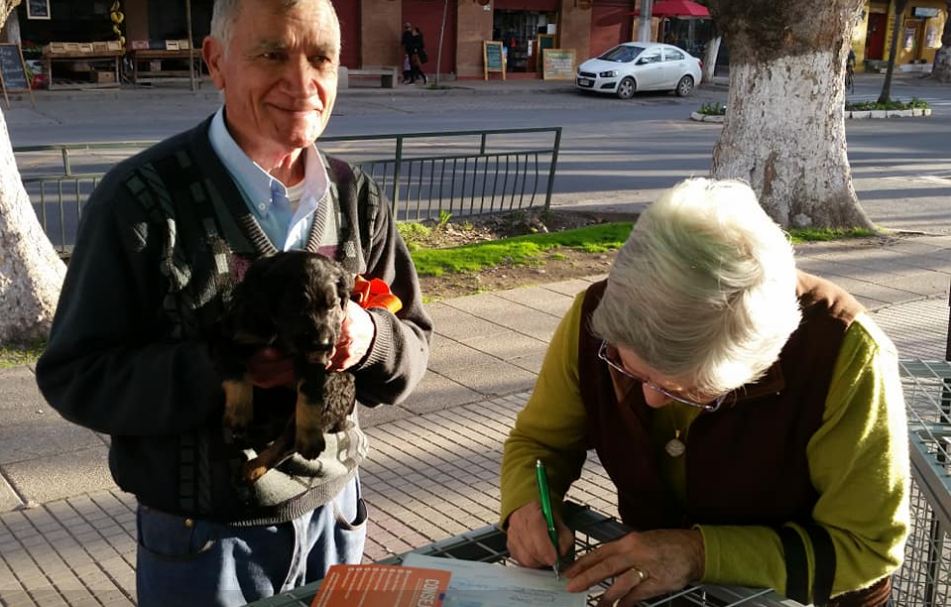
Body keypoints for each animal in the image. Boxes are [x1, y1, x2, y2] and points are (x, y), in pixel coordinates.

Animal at [213, 251, 357, 485]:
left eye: (332, 305)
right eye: (298, 307)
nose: (324, 343)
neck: (279, 332)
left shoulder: (320, 361)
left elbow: (310, 392)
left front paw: (310, 436)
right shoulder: (228, 334)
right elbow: (236, 371)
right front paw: (238, 414)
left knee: (287, 440)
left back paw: (254, 466)